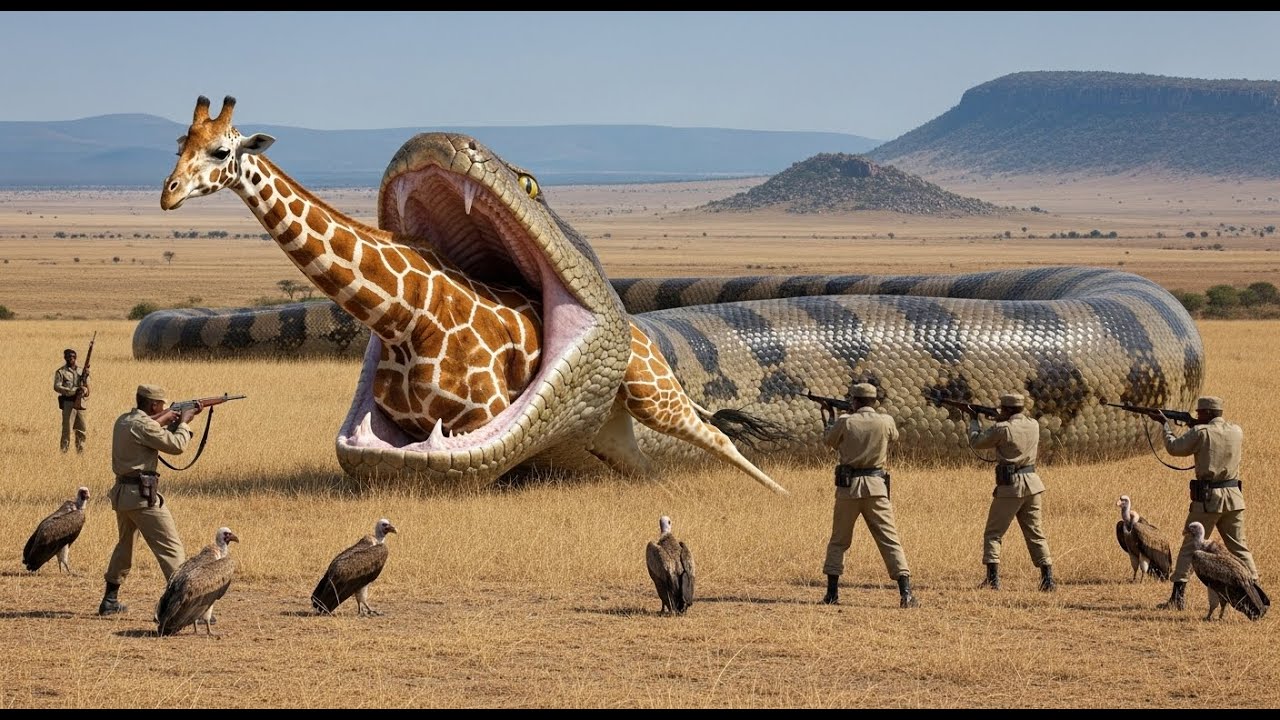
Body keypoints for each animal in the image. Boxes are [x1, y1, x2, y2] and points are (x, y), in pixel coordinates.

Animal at [160, 95, 783, 493]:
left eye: (221, 151)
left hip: (653, 390)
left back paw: (776, 492)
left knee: (715, 434)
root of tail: (639, 331)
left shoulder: (482, 417)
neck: (406, 318)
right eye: (180, 143)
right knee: (644, 457)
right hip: (619, 427)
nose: (168, 193)